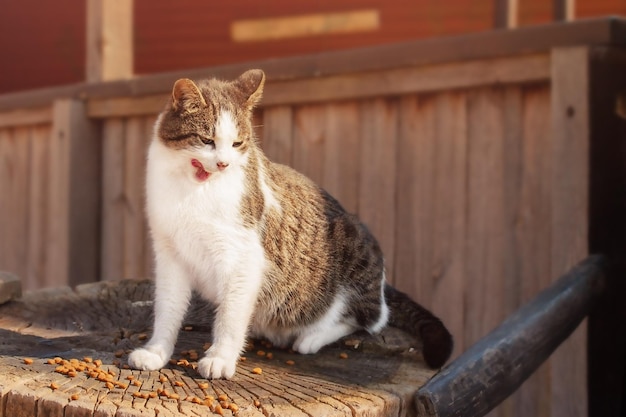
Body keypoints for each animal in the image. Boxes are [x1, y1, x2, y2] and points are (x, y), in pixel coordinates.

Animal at [128, 69, 448, 380]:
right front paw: (156, 352)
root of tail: (382, 282)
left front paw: (220, 358)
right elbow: (168, 308)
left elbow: (230, 315)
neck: (193, 190)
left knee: (371, 316)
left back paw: (312, 338)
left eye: (237, 143)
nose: (224, 164)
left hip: (355, 245)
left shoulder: (241, 257)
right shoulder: (169, 254)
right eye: (207, 140)